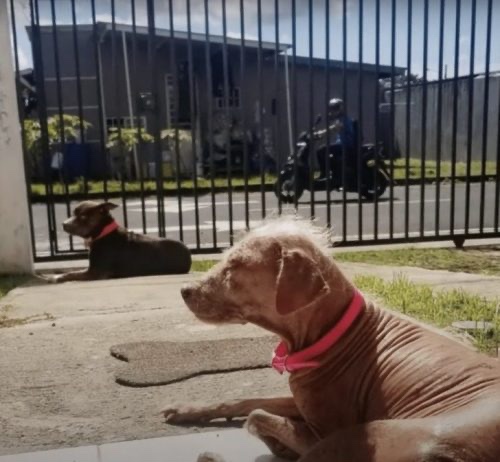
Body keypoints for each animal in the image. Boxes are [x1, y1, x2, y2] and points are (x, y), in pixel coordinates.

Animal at [51, 201, 191, 284]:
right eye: (73, 213)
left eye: (83, 216)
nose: (63, 224)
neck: (103, 232)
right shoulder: (92, 269)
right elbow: (74, 271)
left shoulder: (95, 272)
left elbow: (72, 273)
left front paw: (58, 277)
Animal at [163, 220, 500, 462]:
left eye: (235, 265)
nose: (183, 290)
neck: (332, 331)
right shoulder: (300, 400)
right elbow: (246, 400)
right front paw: (188, 409)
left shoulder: (322, 432)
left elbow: (256, 415)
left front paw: (279, 444)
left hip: (369, 434)